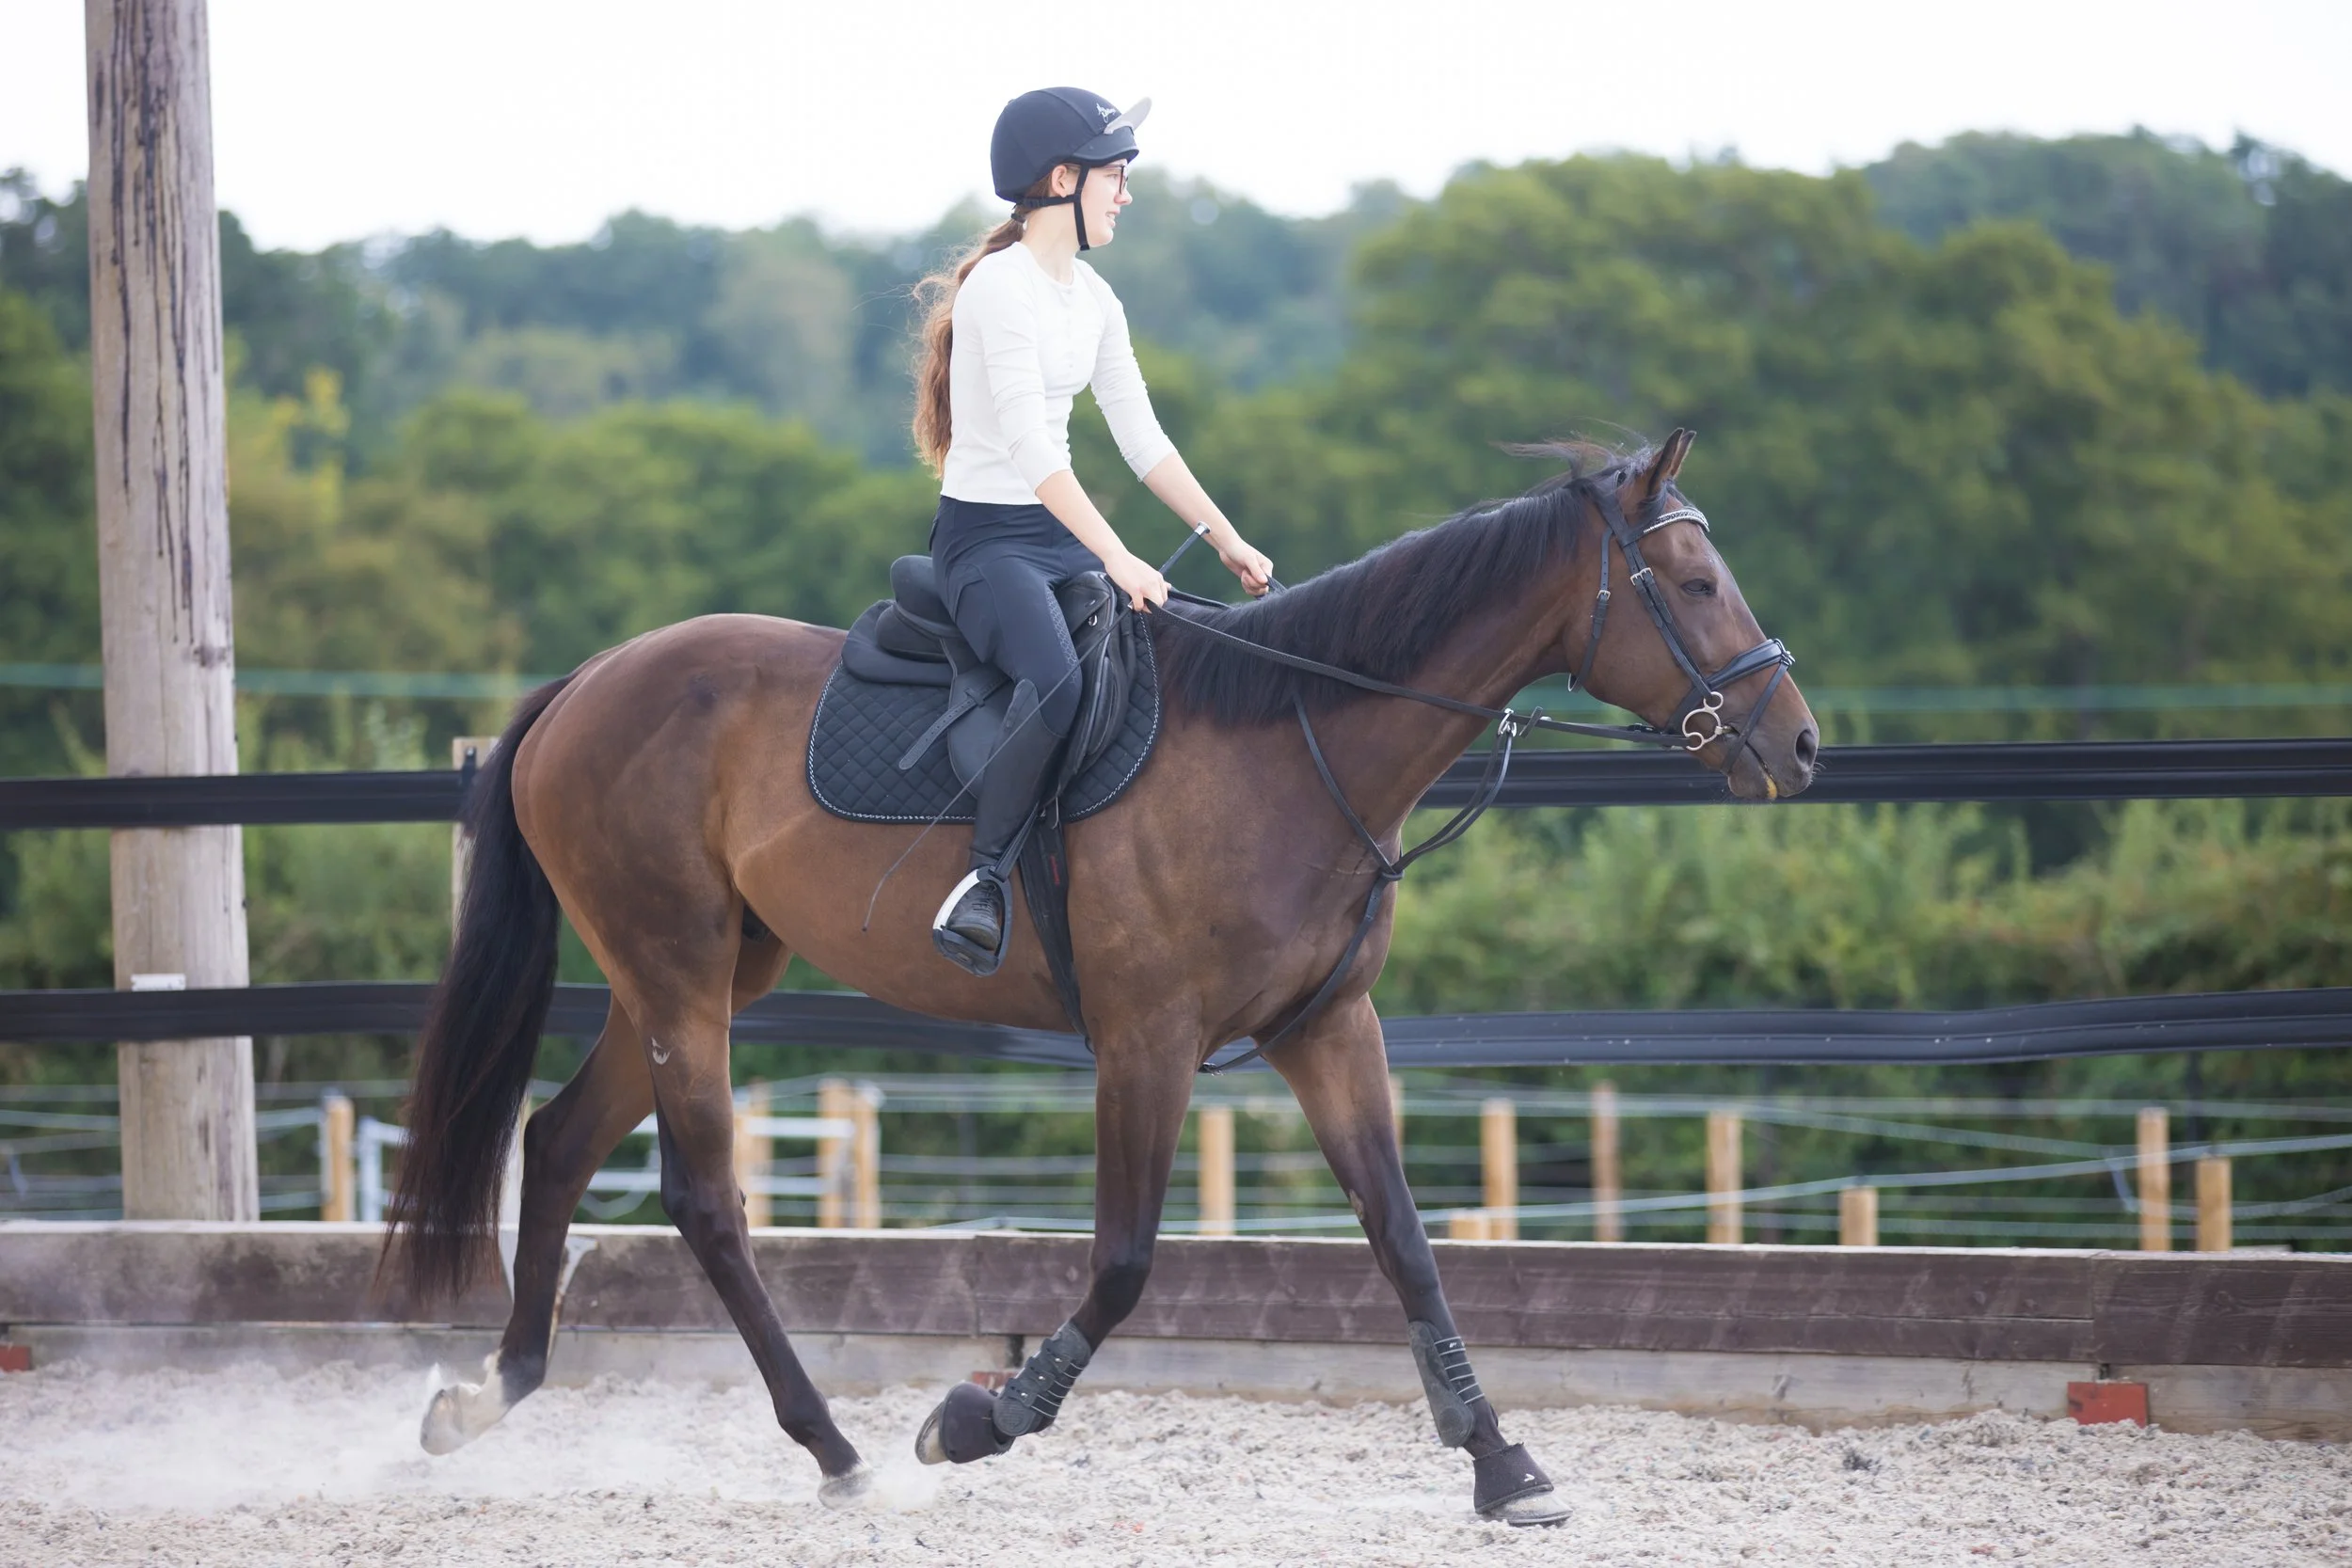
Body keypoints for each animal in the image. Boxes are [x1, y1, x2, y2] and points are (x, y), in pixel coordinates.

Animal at [387, 430, 1818, 1525]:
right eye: (1694, 580)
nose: (1798, 744)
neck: (1290, 745)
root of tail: (588, 681)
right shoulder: (1148, 1042)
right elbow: (1127, 1260)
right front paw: (974, 1419)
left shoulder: (1326, 1030)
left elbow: (1404, 1239)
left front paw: (1503, 1461)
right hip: (679, 975)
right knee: (702, 1199)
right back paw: (837, 1448)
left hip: (705, 973)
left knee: (559, 1140)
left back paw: (488, 1394)